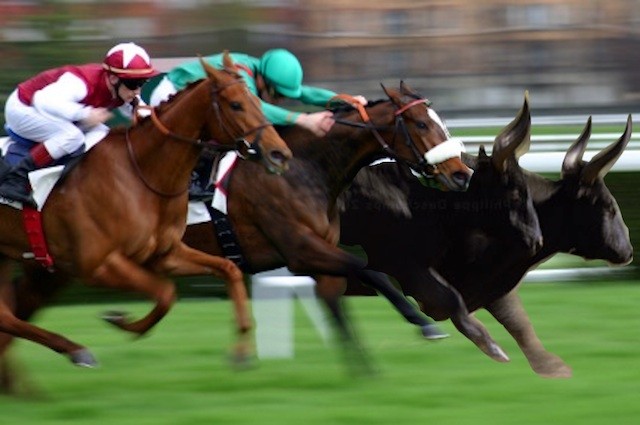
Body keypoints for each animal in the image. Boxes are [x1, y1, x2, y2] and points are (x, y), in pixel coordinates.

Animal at [0, 52, 292, 369]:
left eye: (259, 103)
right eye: (236, 104)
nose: (280, 154)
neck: (142, 174)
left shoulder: (165, 254)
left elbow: (229, 270)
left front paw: (241, 349)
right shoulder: (99, 265)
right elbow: (166, 293)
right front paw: (120, 320)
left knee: (5, 317)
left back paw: (75, 350)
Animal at [341, 116, 633, 378]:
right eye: (609, 206)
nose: (628, 250)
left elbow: (519, 322)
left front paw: (551, 368)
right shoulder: (405, 263)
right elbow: (450, 300)